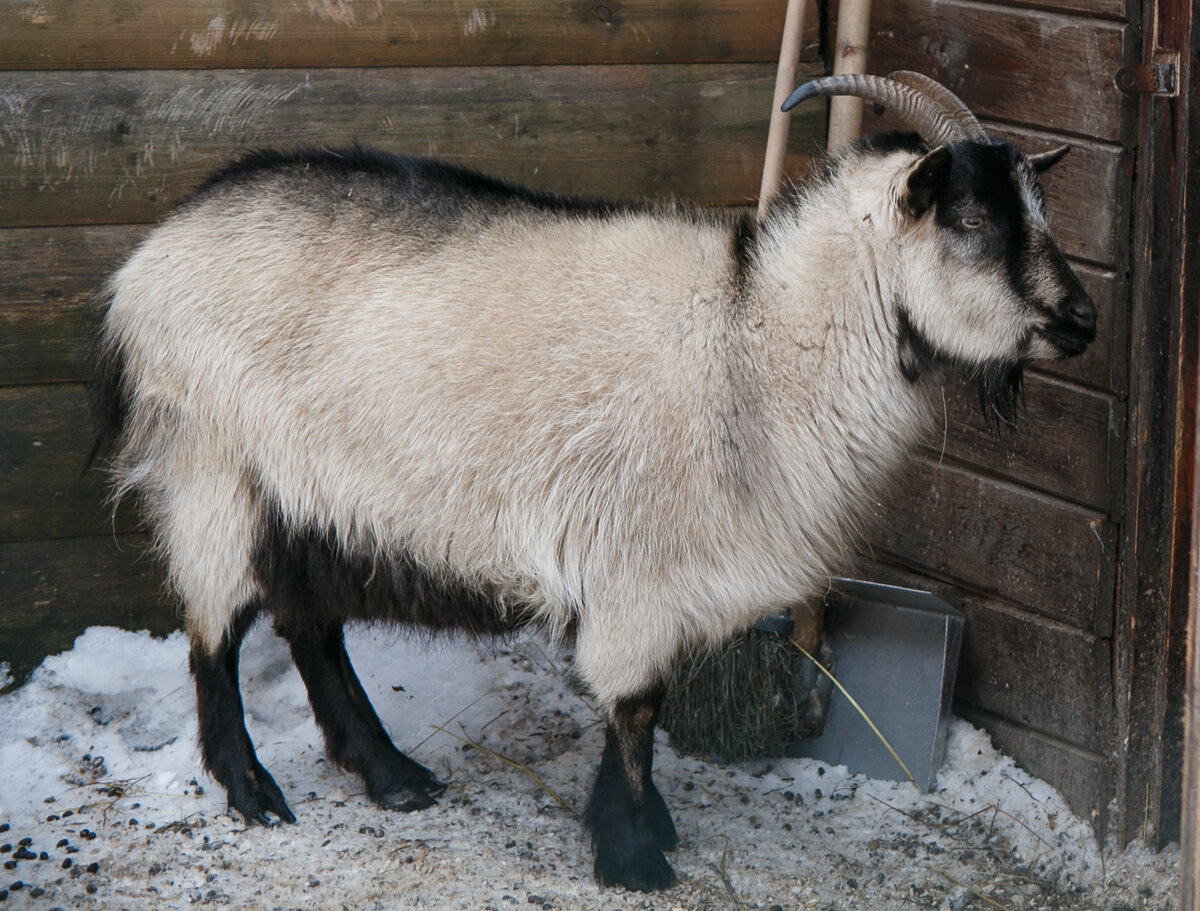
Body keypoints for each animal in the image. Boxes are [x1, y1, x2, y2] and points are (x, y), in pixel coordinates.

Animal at [88, 72, 1094, 892]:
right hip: (212, 466)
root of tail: (153, 250)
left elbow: (645, 707)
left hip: (312, 497)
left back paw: (391, 775)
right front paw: (634, 850)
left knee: (309, 623)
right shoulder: (638, 569)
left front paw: (648, 828)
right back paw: (252, 788)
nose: (1082, 319)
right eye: (972, 221)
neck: (753, 344)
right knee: (215, 628)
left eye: (1037, 208)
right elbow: (636, 707)